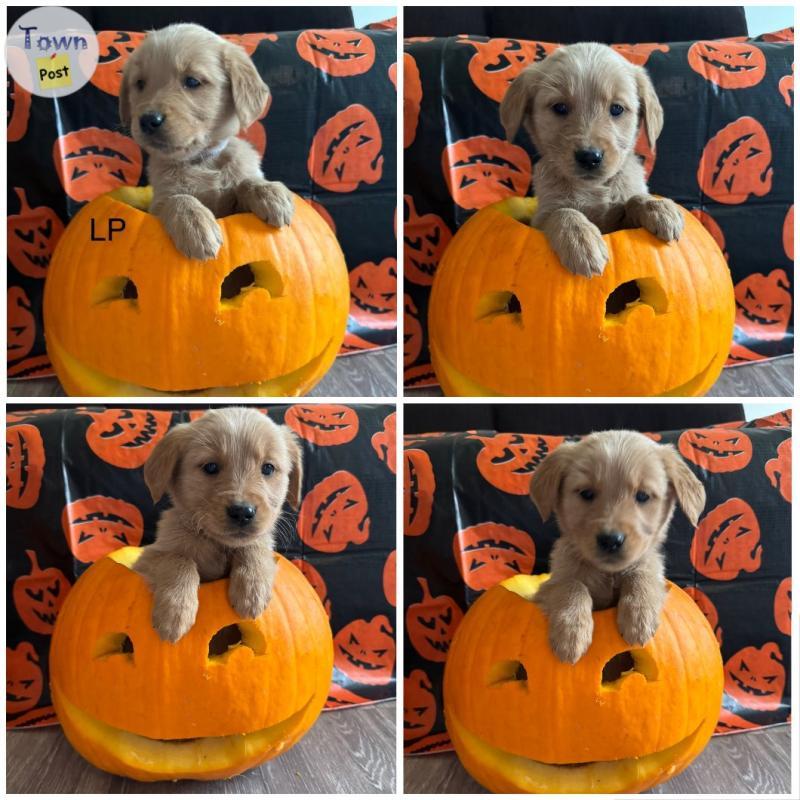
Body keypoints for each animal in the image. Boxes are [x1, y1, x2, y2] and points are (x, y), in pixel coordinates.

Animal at [119, 24, 294, 260]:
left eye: (192, 81)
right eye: (139, 83)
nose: (147, 120)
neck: (201, 160)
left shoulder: (234, 205)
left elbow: (246, 181)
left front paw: (269, 192)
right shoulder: (157, 204)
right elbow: (179, 198)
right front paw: (194, 224)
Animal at [135, 410, 304, 640]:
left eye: (268, 468)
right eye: (211, 467)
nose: (242, 512)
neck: (217, 544)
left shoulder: (261, 544)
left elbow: (254, 547)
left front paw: (252, 589)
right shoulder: (147, 557)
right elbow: (179, 559)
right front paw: (175, 612)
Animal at [500, 42, 680, 278]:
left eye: (617, 109)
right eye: (560, 107)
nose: (589, 157)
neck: (593, 188)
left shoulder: (618, 221)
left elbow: (634, 199)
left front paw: (658, 207)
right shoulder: (540, 218)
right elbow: (563, 211)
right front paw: (580, 240)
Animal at [532, 432, 708, 664]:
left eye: (642, 496)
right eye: (586, 493)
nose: (611, 540)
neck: (608, 573)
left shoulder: (652, 568)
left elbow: (642, 575)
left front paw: (639, 616)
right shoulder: (549, 585)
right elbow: (571, 585)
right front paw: (571, 633)